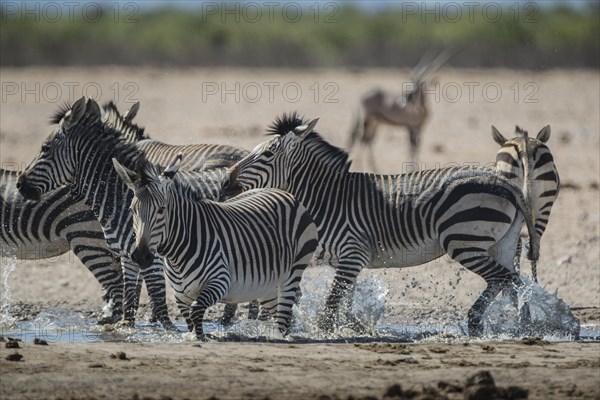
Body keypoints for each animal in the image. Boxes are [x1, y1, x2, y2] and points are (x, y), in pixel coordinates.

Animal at [15, 97, 248, 328]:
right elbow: (130, 296)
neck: (118, 194)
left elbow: (157, 299)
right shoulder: (129, 254)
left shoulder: (152, 255)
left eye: (45, 148)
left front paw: (166, 329)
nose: (19, 184)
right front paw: (125, 325)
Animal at [112, 155, 318, 340]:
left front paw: (203, 338)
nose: (141, 256)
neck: (179, 251)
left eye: (161, 210)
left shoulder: (220, 280)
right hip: (266, 285)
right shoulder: (181, 295)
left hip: (293, 270)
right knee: (282, 317)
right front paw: (195, 336)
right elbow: (190, 320)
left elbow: (196, 311)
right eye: (131, 210)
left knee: (284, 318)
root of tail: (281, 192)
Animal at [224, 113, 540, 338]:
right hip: (501, 243)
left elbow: (331, 304)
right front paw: (356, 327)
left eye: (267, 154)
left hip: (463, 242)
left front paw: (325, 332)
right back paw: (518, 327)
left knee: (503, 278)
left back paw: (478, 322)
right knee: (514, 282)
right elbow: (345, 305)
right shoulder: (348, 261)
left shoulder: (352, 254)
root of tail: (504, 183)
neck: (327, 198)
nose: (226, 182)